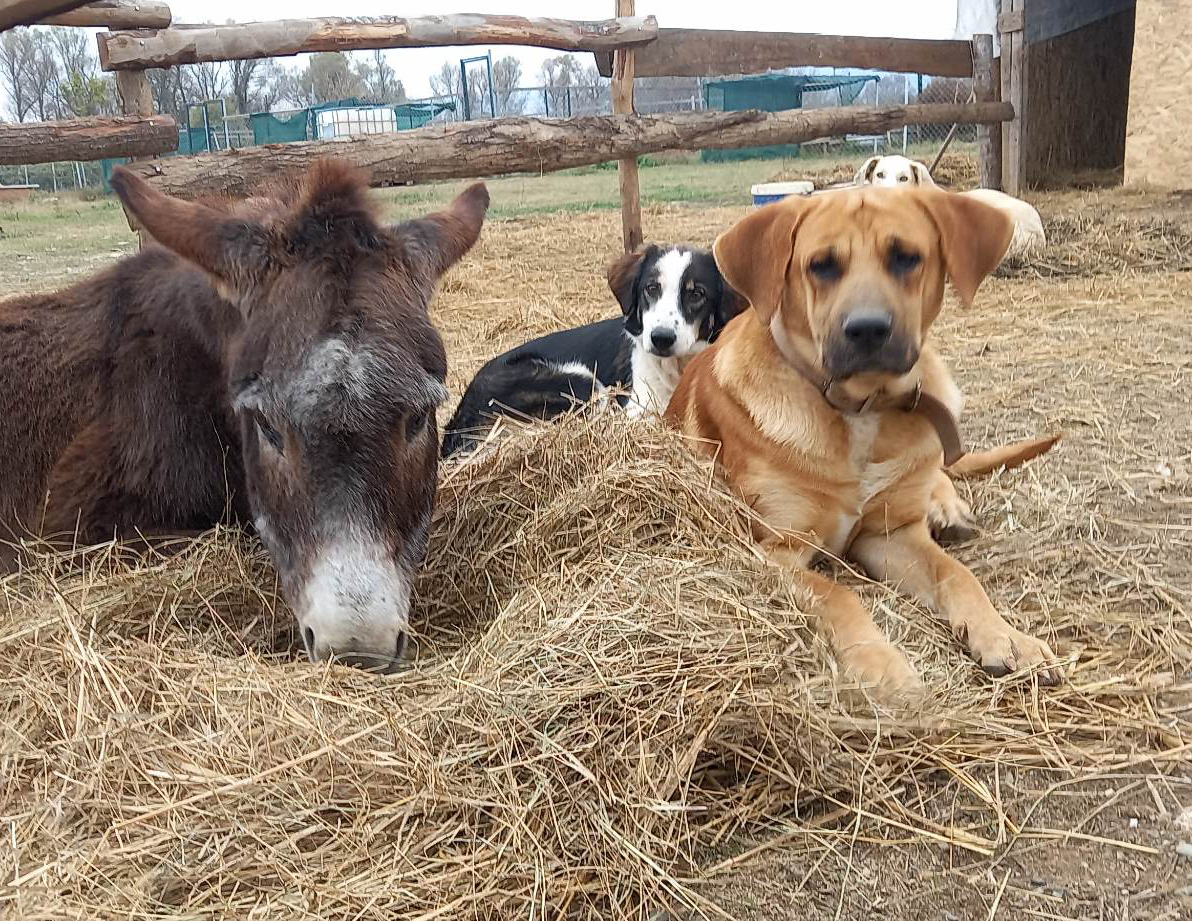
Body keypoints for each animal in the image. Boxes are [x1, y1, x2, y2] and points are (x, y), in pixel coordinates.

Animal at [443, 244, 743, 455]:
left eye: (697, 294)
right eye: (651, 288)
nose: (661, 338)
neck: (677, 368)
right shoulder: (634, 412)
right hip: (582, 383)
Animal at [667, 184, 1068, 691]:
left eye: (907, 257)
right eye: (821, 265)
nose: (868, 329)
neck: (858, 409)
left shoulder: (889, 535)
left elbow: (957, 575)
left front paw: (1006, 637)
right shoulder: (776, 551)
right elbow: (839, 595)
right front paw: (883, 665)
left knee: (939, 476)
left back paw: (948, 508)